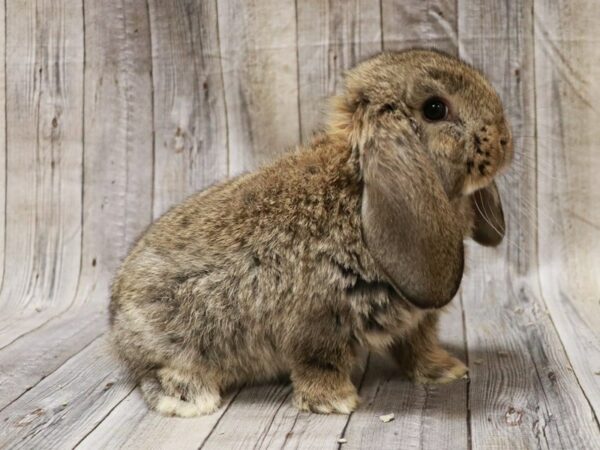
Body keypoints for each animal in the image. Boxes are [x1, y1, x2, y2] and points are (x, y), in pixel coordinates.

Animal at [109, 47, 510, 416]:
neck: (358, 194)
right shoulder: (316, 322)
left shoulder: (417, 320)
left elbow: (417, 346)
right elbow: (319, 363)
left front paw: (446, 370)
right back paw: (191, 399)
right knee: (154, 373)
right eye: (435, 109)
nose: (504, 140)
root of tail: (116, 322)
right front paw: (336, 402)